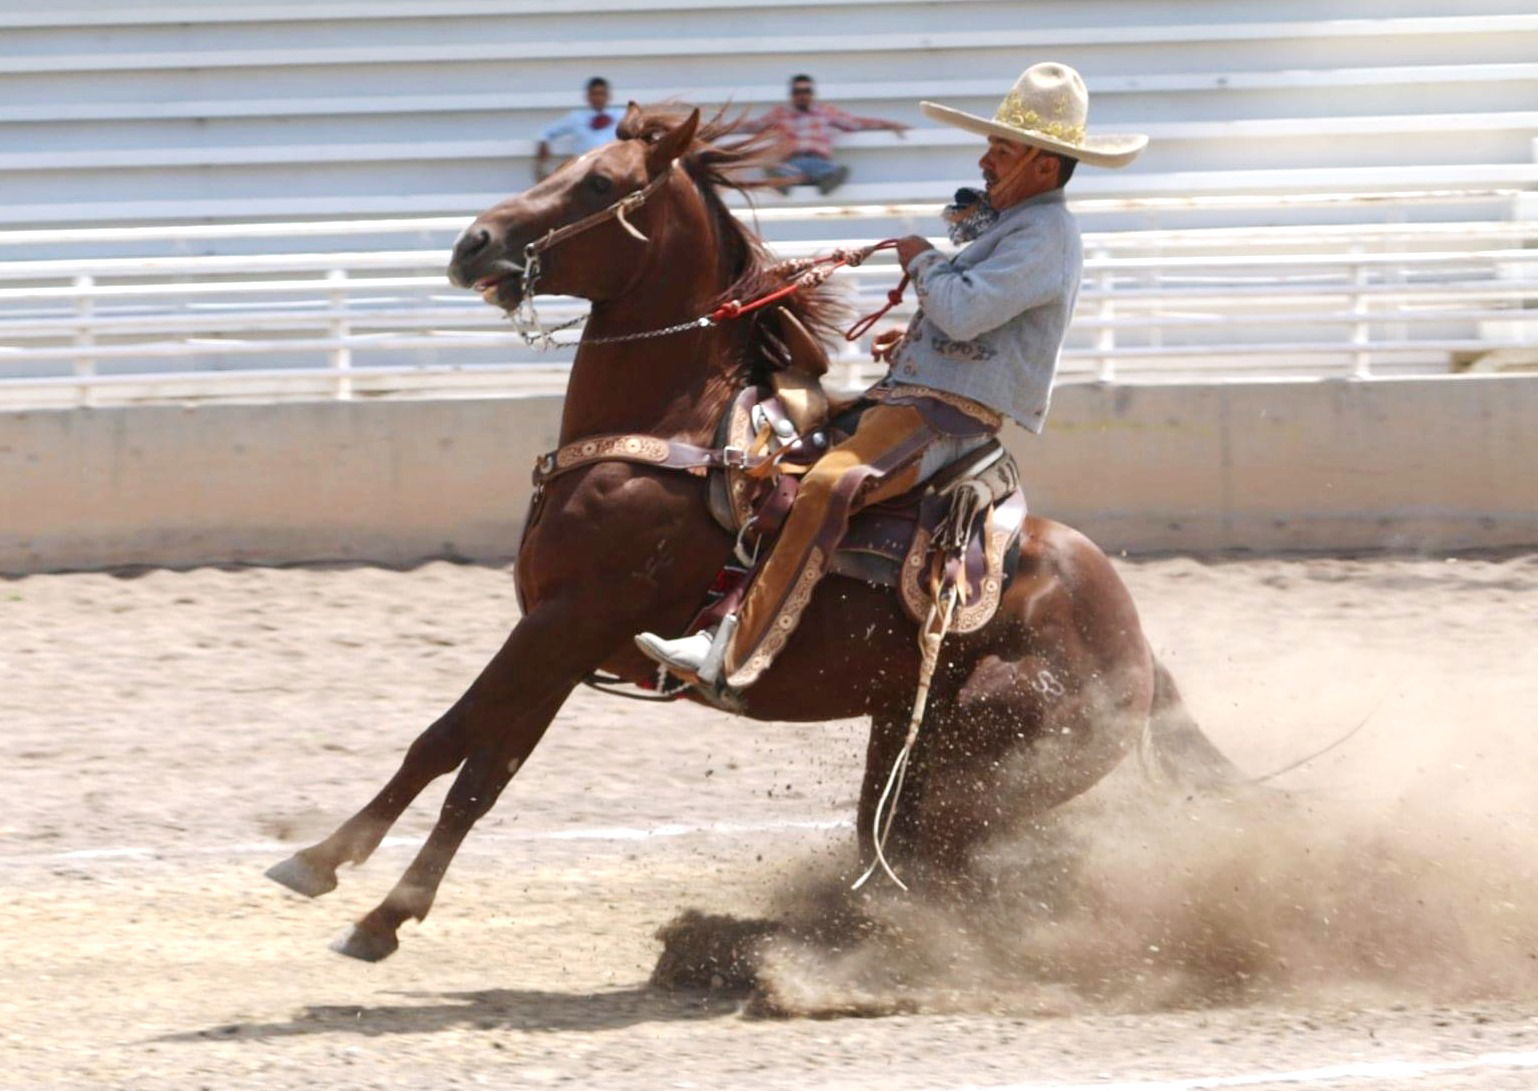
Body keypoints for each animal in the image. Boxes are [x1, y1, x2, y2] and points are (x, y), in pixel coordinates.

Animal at [270, 106, 1242, 960]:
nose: (472, 243)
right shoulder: (558, 639)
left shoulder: (565, 622)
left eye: (599, 182)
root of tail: (1139, 647)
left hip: (987, 759)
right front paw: (355, 890)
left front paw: (348, 887)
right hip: (907, 740)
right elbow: (473, 758)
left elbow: (460, 751)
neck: (674, 428)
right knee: (899, 854)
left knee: (940, 863)